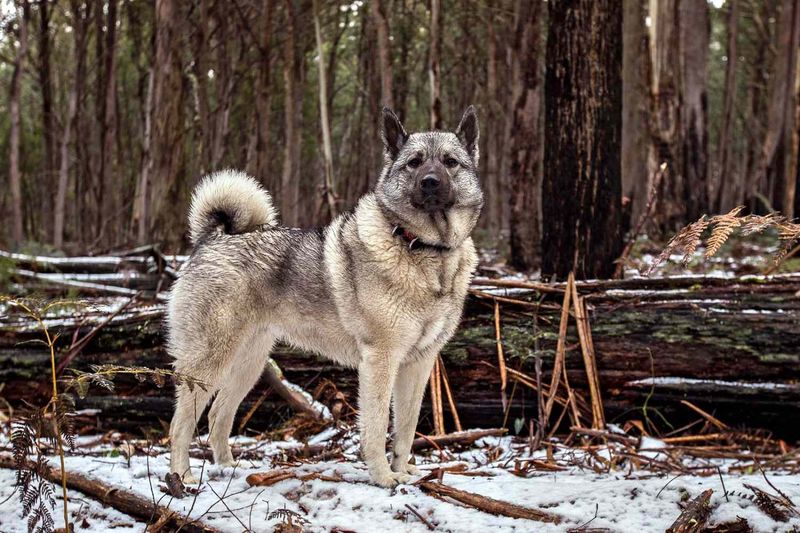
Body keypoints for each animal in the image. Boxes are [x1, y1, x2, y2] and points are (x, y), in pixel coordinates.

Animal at [167, 106, 482, 488]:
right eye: (414, 163)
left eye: (451, 162)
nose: (431, 182)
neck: (424, 249)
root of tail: (213, 239)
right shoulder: (380, 361)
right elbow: (377, 426)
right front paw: (384, 477)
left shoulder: (419, 364)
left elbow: (405, 428)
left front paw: (404, 470)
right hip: (209, 361)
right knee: (180, 424)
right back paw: (181, 477)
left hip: (249, 363)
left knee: (217, 416)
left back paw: (228, 469)